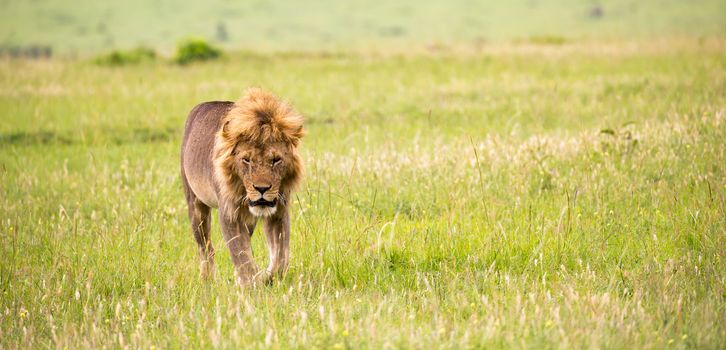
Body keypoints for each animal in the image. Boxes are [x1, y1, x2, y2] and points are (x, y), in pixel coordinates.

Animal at [183, 89, 306, 286]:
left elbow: (280, 257)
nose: (262, 189)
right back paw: (207, 279)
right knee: (205, 246)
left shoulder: (279, 212)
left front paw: (265, 277)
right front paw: (251, 284)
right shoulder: (229, 214)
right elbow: (241, 255)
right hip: (195, 204)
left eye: (276, 160)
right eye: (246, 160)